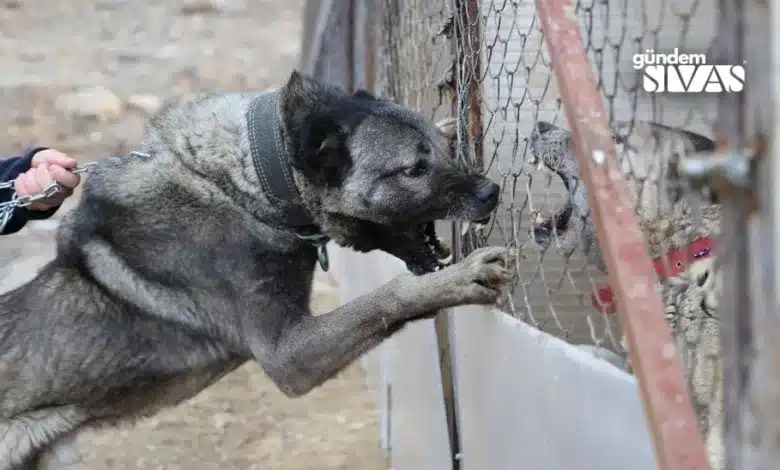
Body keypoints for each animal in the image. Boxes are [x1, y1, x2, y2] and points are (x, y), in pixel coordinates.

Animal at [1, 69, 516, 466]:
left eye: (443, 150)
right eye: (412, 170)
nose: (491, 193)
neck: (247, 184)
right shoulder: (287, 356)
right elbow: (388, 296)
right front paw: (462, 277)